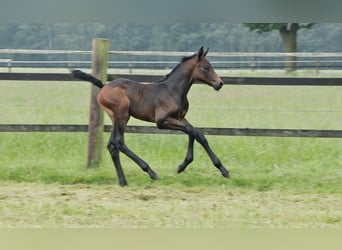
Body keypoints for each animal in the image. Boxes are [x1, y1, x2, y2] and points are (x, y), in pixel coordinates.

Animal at [71, 47, 228, 186]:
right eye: (206, 67)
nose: (220, 83)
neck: (173, 90)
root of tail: (103, 86)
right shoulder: (162, 121)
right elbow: (192, 131)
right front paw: (182, 166)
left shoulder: (180, 118)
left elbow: (197, 134)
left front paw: (223, 170)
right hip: (122, 114)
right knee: (119, 142)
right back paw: (151, 172)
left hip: (116, 117)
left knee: (112, 145)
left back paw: (123, 181)